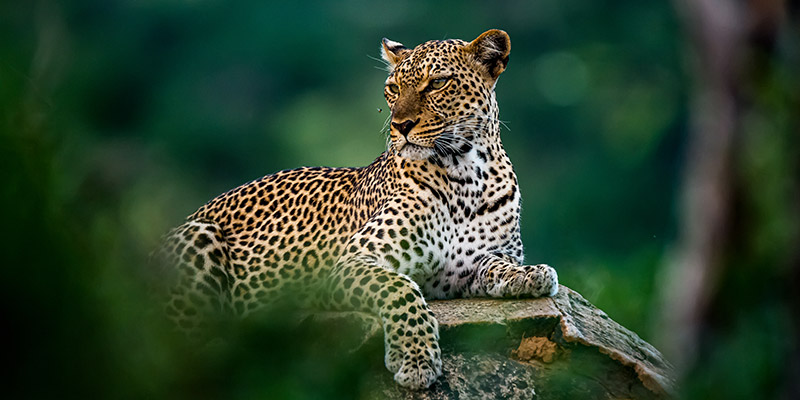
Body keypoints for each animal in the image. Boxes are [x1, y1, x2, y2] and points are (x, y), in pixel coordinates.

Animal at [153, 29, 559, 389]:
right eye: (393, 88)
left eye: (437, 83)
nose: (400, 126)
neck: (466, 175)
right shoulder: (352, 262)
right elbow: (401, 288)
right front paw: (416, 359)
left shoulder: (469, 267)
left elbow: (498, 266)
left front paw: (531, 275)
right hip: (199, 235)